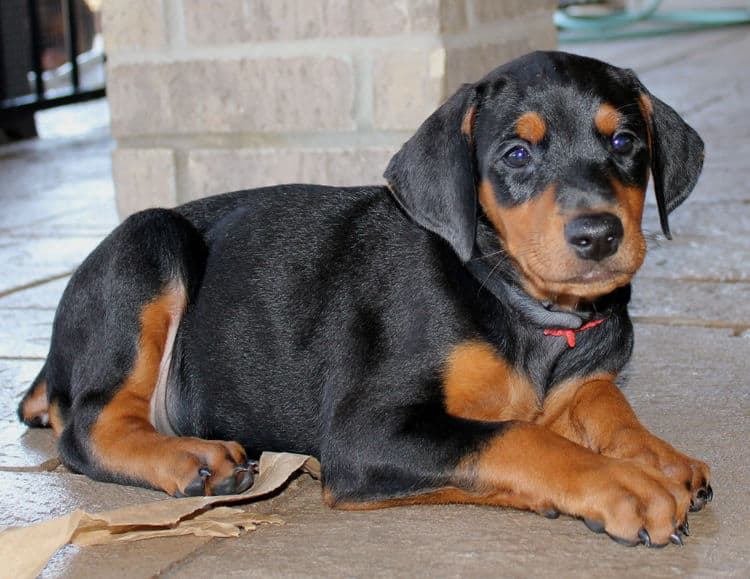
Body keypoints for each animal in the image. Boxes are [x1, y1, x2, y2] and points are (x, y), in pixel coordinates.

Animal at [19, 52, 712, 548]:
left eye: (624, 142)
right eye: (516, 154)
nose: (598, 235)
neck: (525, 306)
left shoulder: (581, 376)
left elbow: (605, 401)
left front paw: (661, 457)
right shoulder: (365, 435)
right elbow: (518, 438)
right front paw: (625, 484)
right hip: (149, 243)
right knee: (87, 428)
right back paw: (192, 456)